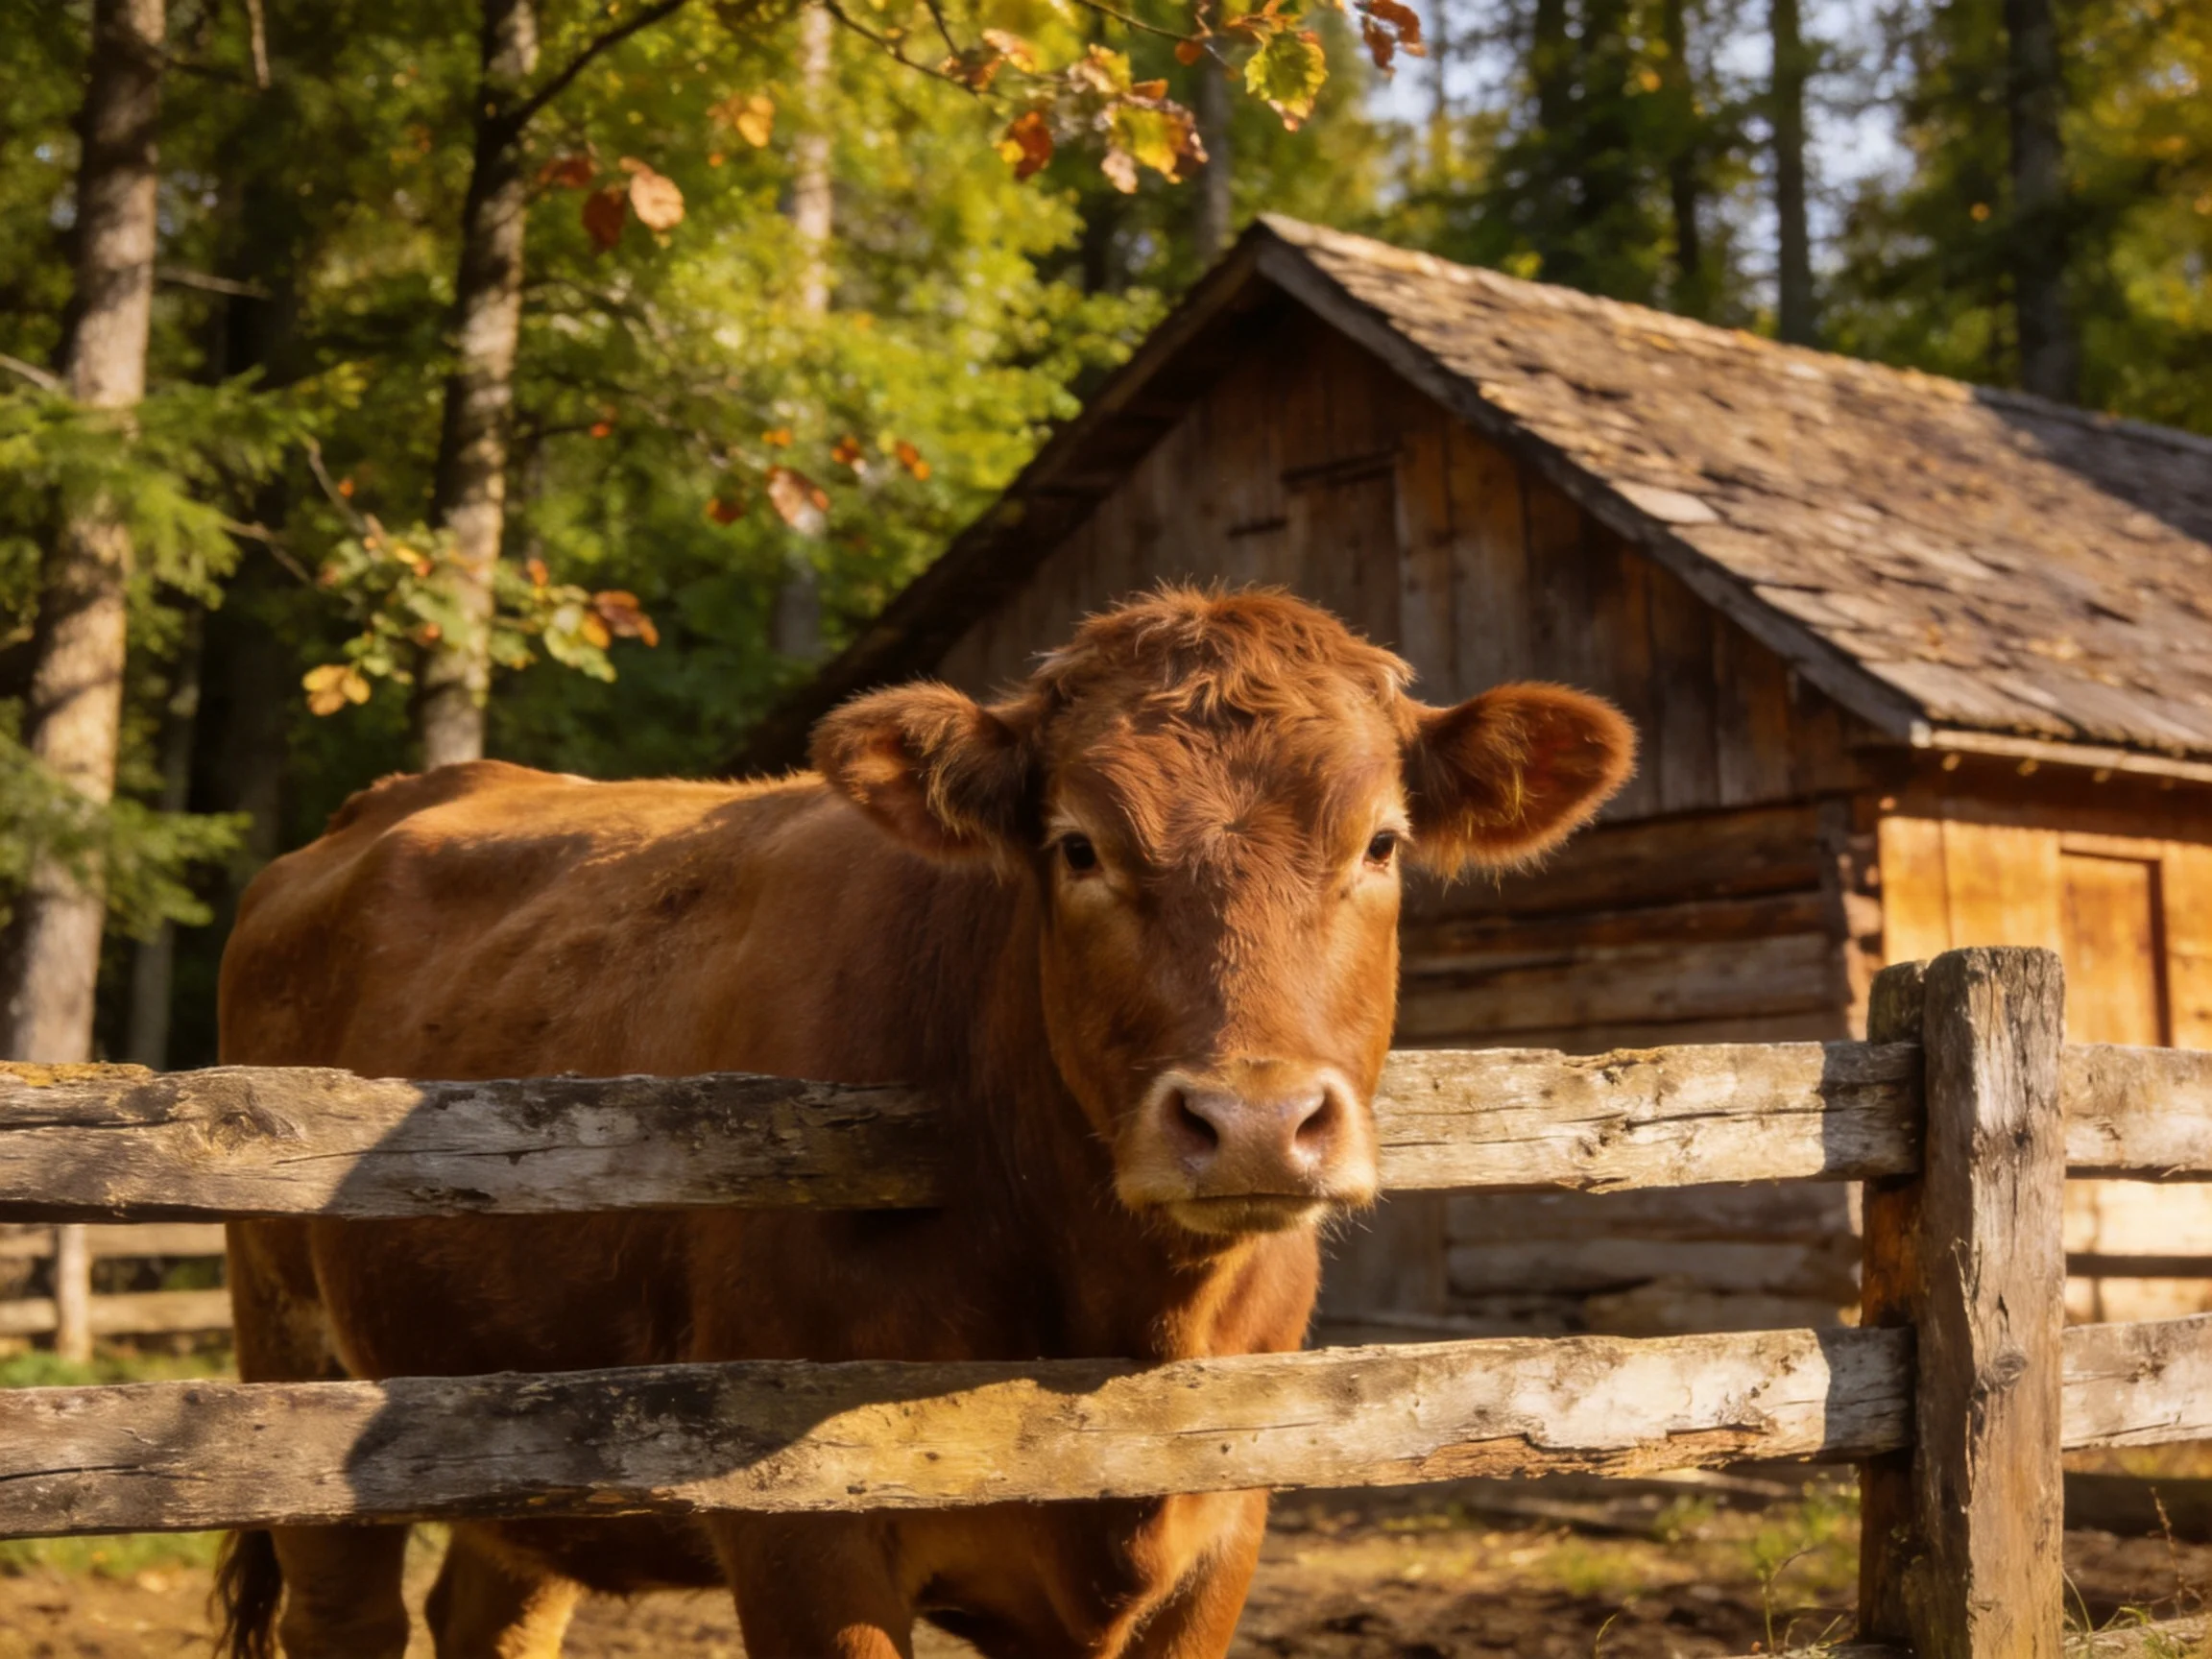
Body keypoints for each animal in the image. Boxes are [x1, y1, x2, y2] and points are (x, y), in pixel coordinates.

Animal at [215, 585, 1633, 1659]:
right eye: (1077, 845)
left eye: (1382, 843)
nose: (1251, 1121)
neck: (1122, 1327)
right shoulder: (803, 1535)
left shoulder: (1217, 1533)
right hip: (296, 1370)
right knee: (344, 1614)